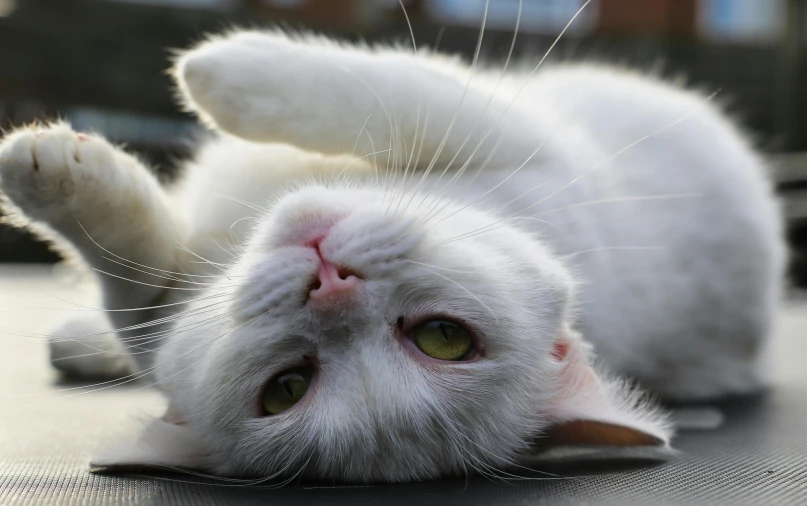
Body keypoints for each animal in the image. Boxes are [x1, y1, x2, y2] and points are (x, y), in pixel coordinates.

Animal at [0, 28, 784, 482]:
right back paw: (78, 340)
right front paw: (61, 171)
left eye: (442, 337)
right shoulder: (165, 297)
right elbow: (130, 259)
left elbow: (370, 93)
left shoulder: (514, 134)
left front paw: (220, 71)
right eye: (289, 382)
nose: (330, 284)